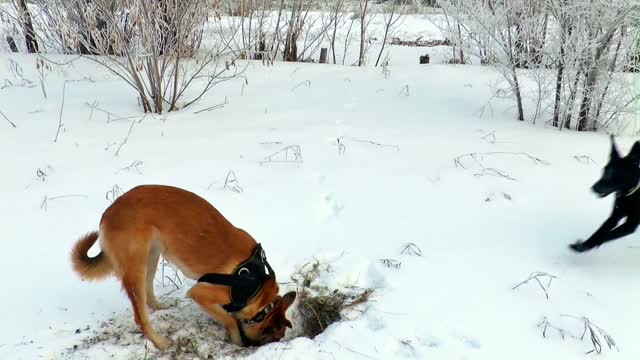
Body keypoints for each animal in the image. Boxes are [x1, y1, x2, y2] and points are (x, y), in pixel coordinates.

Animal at [71, 186, 296, 348]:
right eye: (273, 338)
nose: (251, 347)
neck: (257, 286)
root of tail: (109, 212)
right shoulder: (200, 292)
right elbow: (229, 320)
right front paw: (236, 339)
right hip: (137, 266)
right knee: (140, 317)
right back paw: (161, 343)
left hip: (152, 256)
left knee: (148, 294)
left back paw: (159, 307)